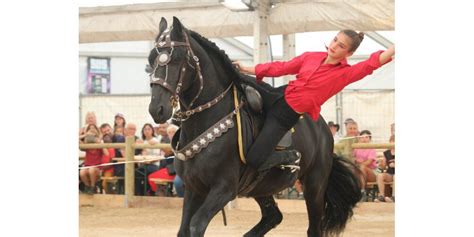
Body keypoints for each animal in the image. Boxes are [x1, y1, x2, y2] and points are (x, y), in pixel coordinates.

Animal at [148, 17, 360, 237]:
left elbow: (196, 225)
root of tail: (323, 128)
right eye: (151, 60)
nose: (157, 109)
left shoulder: (223, 190)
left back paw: (293, 158)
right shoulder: (193, 189)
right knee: (273, 216)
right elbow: (184, 229)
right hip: (259, 186)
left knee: (312, 227)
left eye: (177, 59)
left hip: (314, 184)